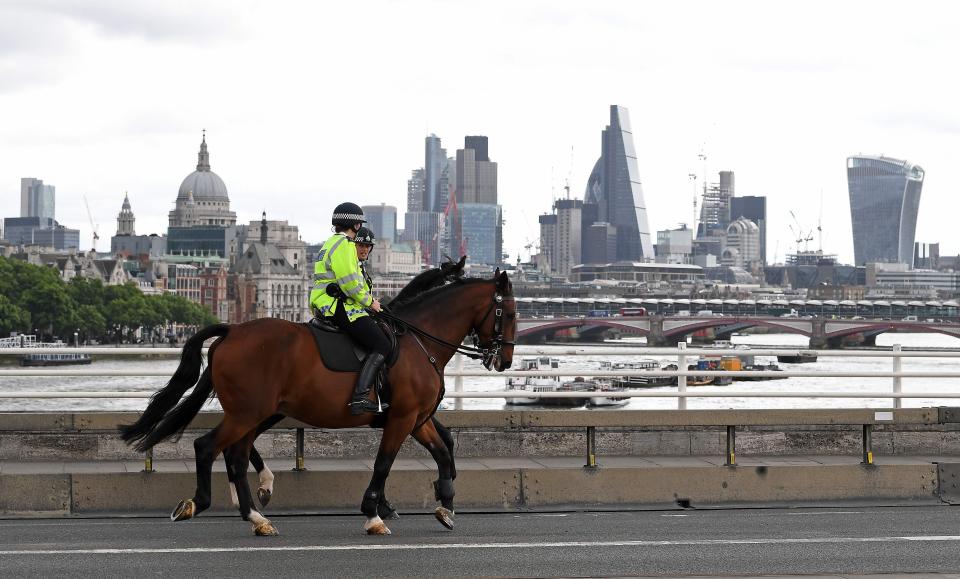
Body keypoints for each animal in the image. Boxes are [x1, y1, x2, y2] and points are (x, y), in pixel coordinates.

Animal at [121, 270, 516, 536]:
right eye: (510, 314)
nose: (506, 360)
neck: (419, 342)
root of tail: (233, 330)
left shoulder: (417, 418)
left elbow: (444, 451)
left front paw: (445, 502)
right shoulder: (402, 418)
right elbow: (384, 463)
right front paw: (374, 513)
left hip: (254, 413)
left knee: (235, 455)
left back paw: (256, 516)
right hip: (248, 412)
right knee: (208, 447)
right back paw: (202, 503)